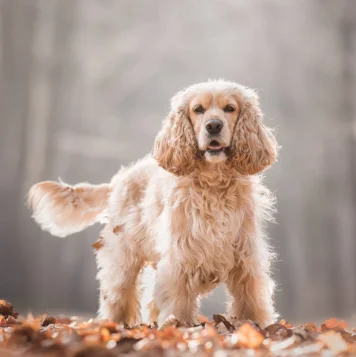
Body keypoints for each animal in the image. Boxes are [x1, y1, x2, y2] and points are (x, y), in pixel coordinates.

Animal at [27, 79, 278, 326]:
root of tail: (119, 179)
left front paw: (255, 327)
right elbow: (178, 301)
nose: (214, 126)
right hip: (123, 258)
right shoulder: (180, 257)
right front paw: (179, 326)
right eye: (198, 109)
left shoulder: (245, 257)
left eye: (230, 108)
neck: (213, 184)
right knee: (117, 296)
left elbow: (250, 302)